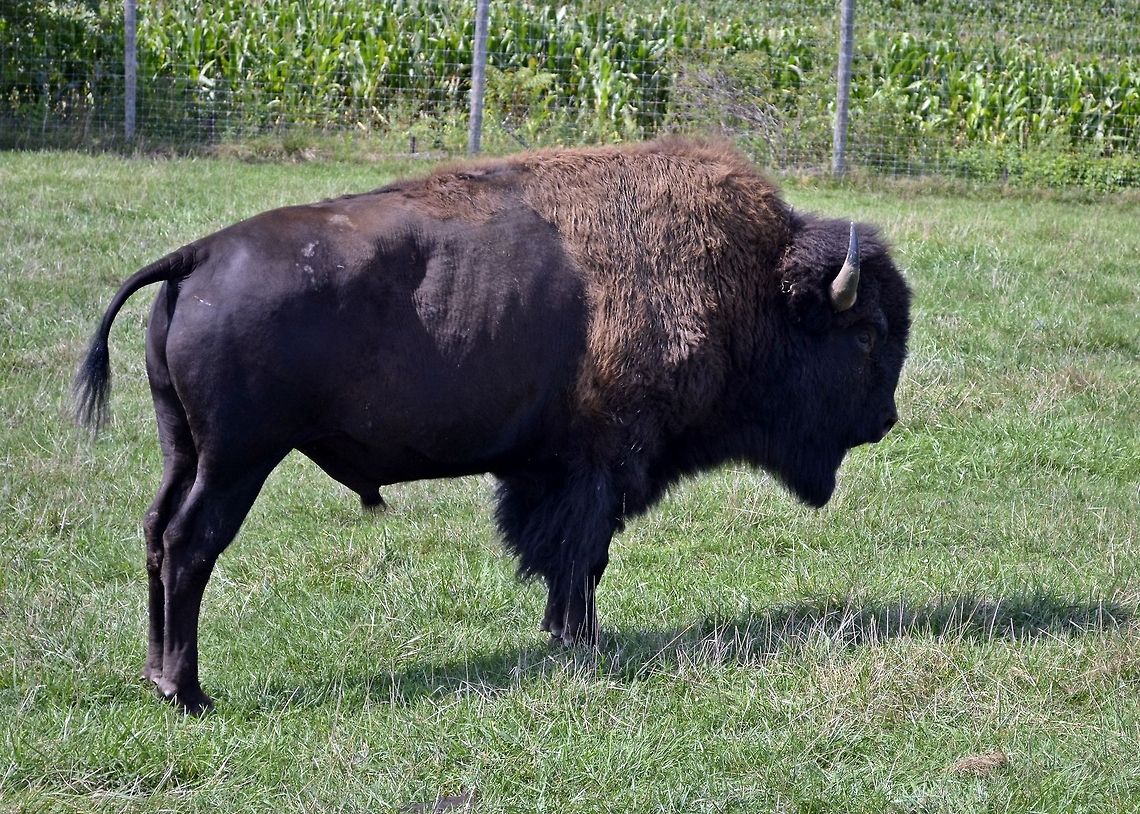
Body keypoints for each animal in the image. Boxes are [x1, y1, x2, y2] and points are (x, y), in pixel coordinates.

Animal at [74, 139, 911, 713]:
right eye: (867, 333)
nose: (884, 420)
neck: (751, 284)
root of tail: (197, 256)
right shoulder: (602, 464)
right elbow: (584, 556)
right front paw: (584, 640)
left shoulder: (550, 470)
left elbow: (557, 554)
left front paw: (559, 634)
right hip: (237, 460)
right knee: (191, 544)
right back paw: (188, 693)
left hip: (183, 450)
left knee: (155, 532)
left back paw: (156, 675)